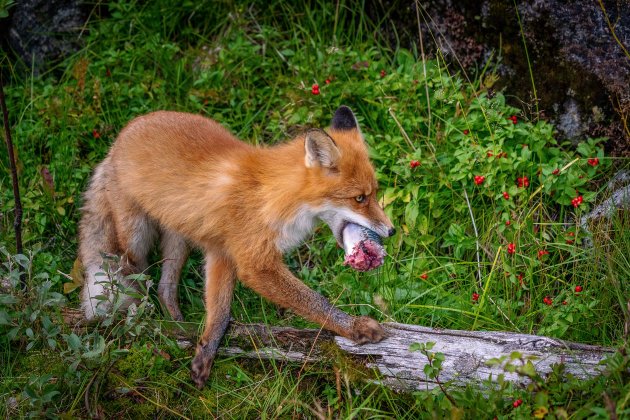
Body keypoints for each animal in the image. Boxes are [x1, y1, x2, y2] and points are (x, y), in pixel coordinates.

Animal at [79, 106, 396, 388]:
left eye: (375, 193)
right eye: (359, 198)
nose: (391, 230)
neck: (271, 196)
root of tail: (120, 137)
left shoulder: (222, 252)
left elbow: (220, 312)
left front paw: (205, 352)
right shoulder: (254, 263)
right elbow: (316, 303)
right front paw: (354, 327)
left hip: (178, 239)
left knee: (164, 287)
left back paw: (178, 327)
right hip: (136, 237)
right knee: (135, 276)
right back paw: (142, 318)